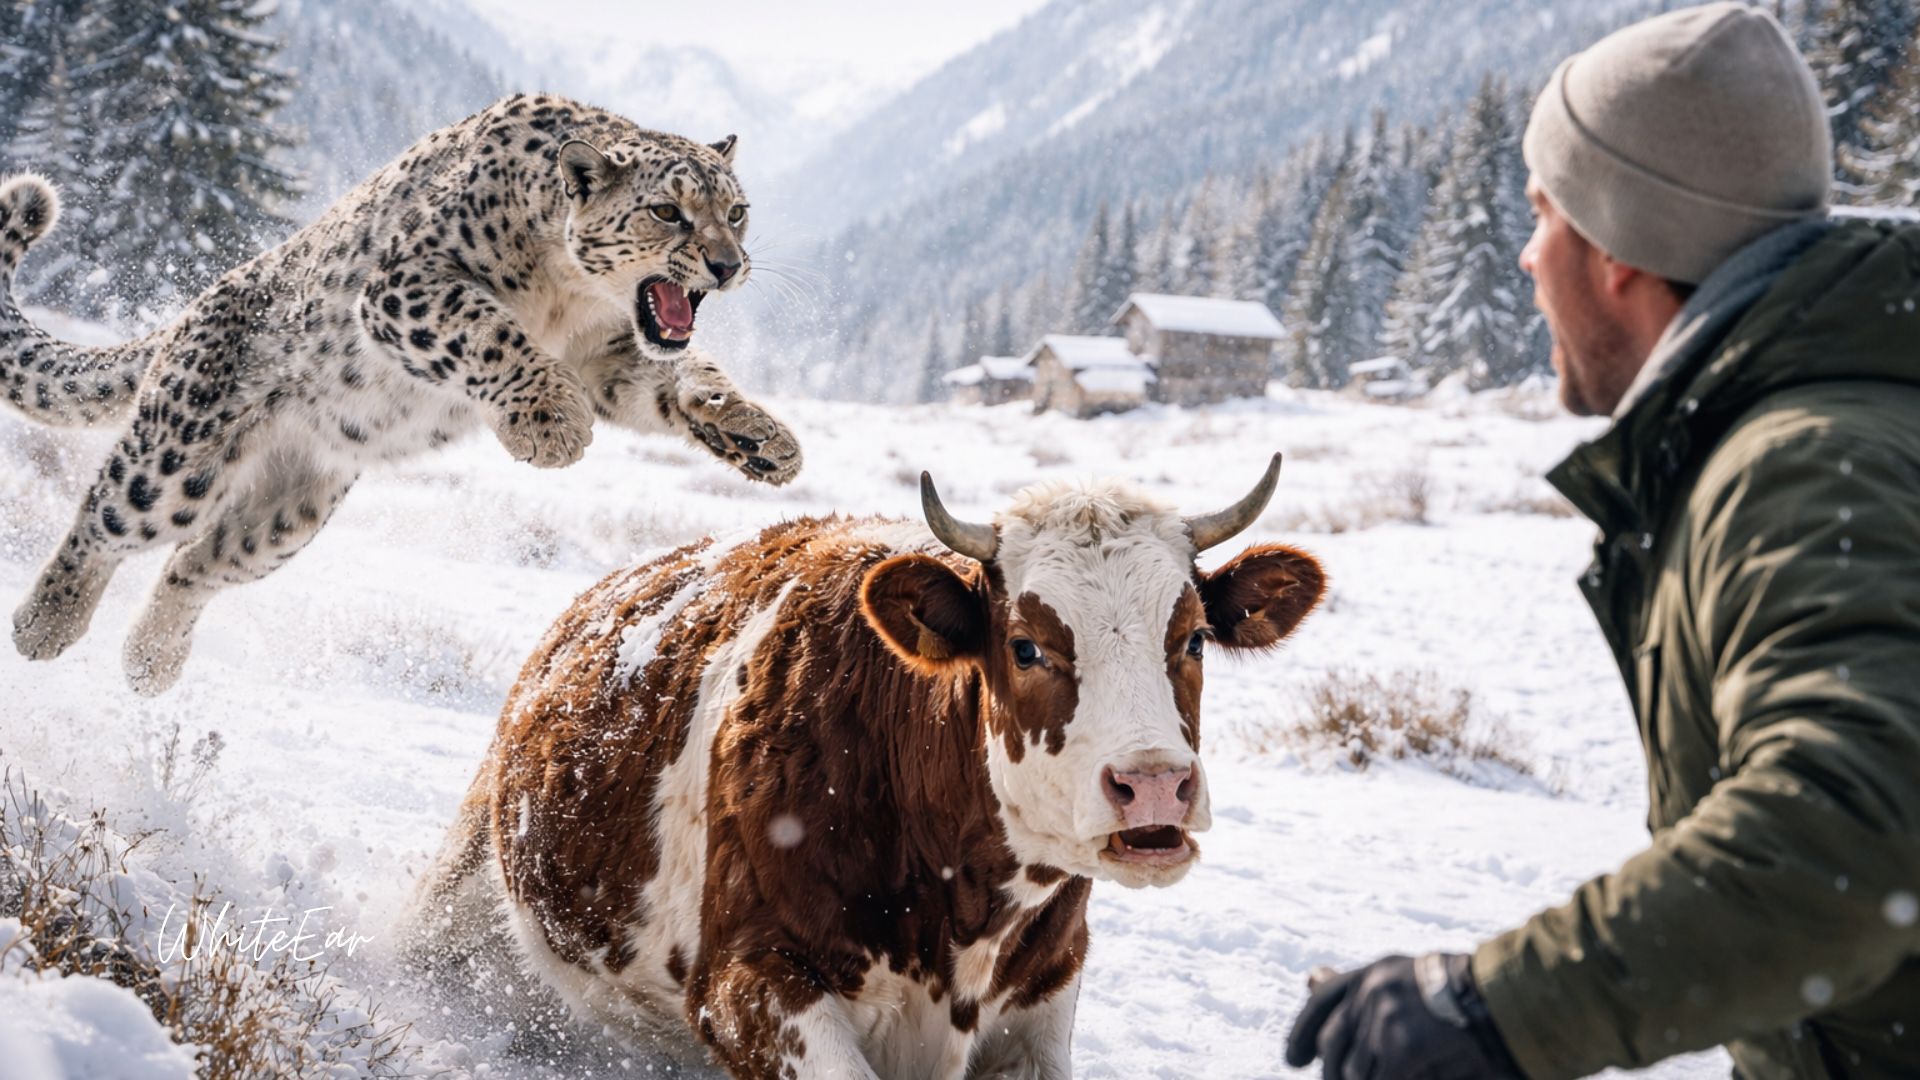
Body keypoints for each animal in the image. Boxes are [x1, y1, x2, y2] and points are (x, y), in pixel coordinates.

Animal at [0, 93, 802, 696]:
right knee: (107, 517)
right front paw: (550, 423)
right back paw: (44, 626)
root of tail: (193, 308)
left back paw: (150, 664)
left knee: (196, 562)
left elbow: (683, 380)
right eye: (668, 211)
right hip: (177, 458)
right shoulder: (409, 283)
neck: (572, 298)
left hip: (287, 516)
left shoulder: (610, 354)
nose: (727, 264)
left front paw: (762, 439)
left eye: (737, 211)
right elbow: (489, 329)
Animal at [410, 455, 1324, 1078]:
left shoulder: (1043, 1001)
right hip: (461, 901)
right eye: (1025, 645)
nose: (1155, 785)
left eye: (1194, 637)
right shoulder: (749, 985)